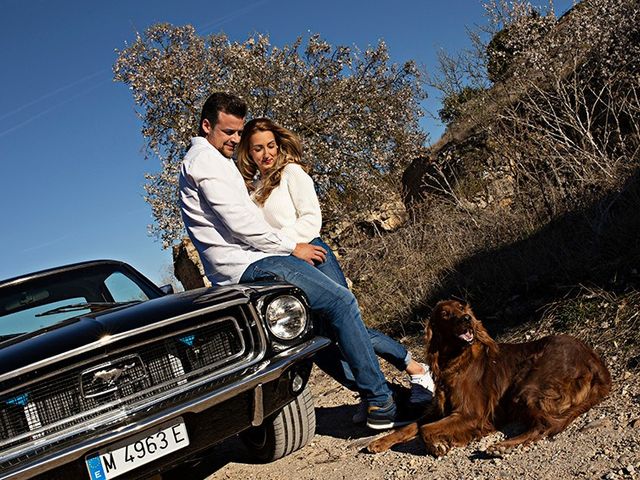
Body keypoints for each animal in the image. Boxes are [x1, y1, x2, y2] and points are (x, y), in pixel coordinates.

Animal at [364, 298, 608, 456]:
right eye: (445, 314)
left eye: (462, 307)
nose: (466, 318)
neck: (455, 361)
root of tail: (593, 357)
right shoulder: (439, 410)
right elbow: (410, 426)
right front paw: (381, 442)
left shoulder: (471, 413)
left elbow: (425, 429)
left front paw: (437, 446)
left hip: (527, 387)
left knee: (546, 425)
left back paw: (502, 447)